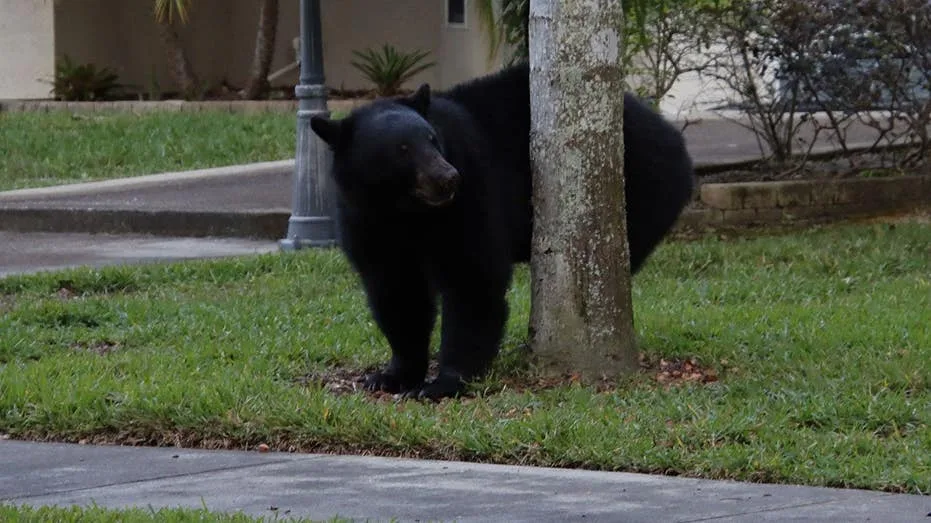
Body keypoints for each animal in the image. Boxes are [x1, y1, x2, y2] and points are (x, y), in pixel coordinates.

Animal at [310, 62, 695, 400]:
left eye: (432, 139)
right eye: (402, 150)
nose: (447, 178)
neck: (405, 211)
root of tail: (668, 130)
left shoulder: (471, 188)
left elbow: (471, 276)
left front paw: (443, 382)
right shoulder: (365, 218)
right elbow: (396, 291)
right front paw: (392, 374)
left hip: (642, 176)